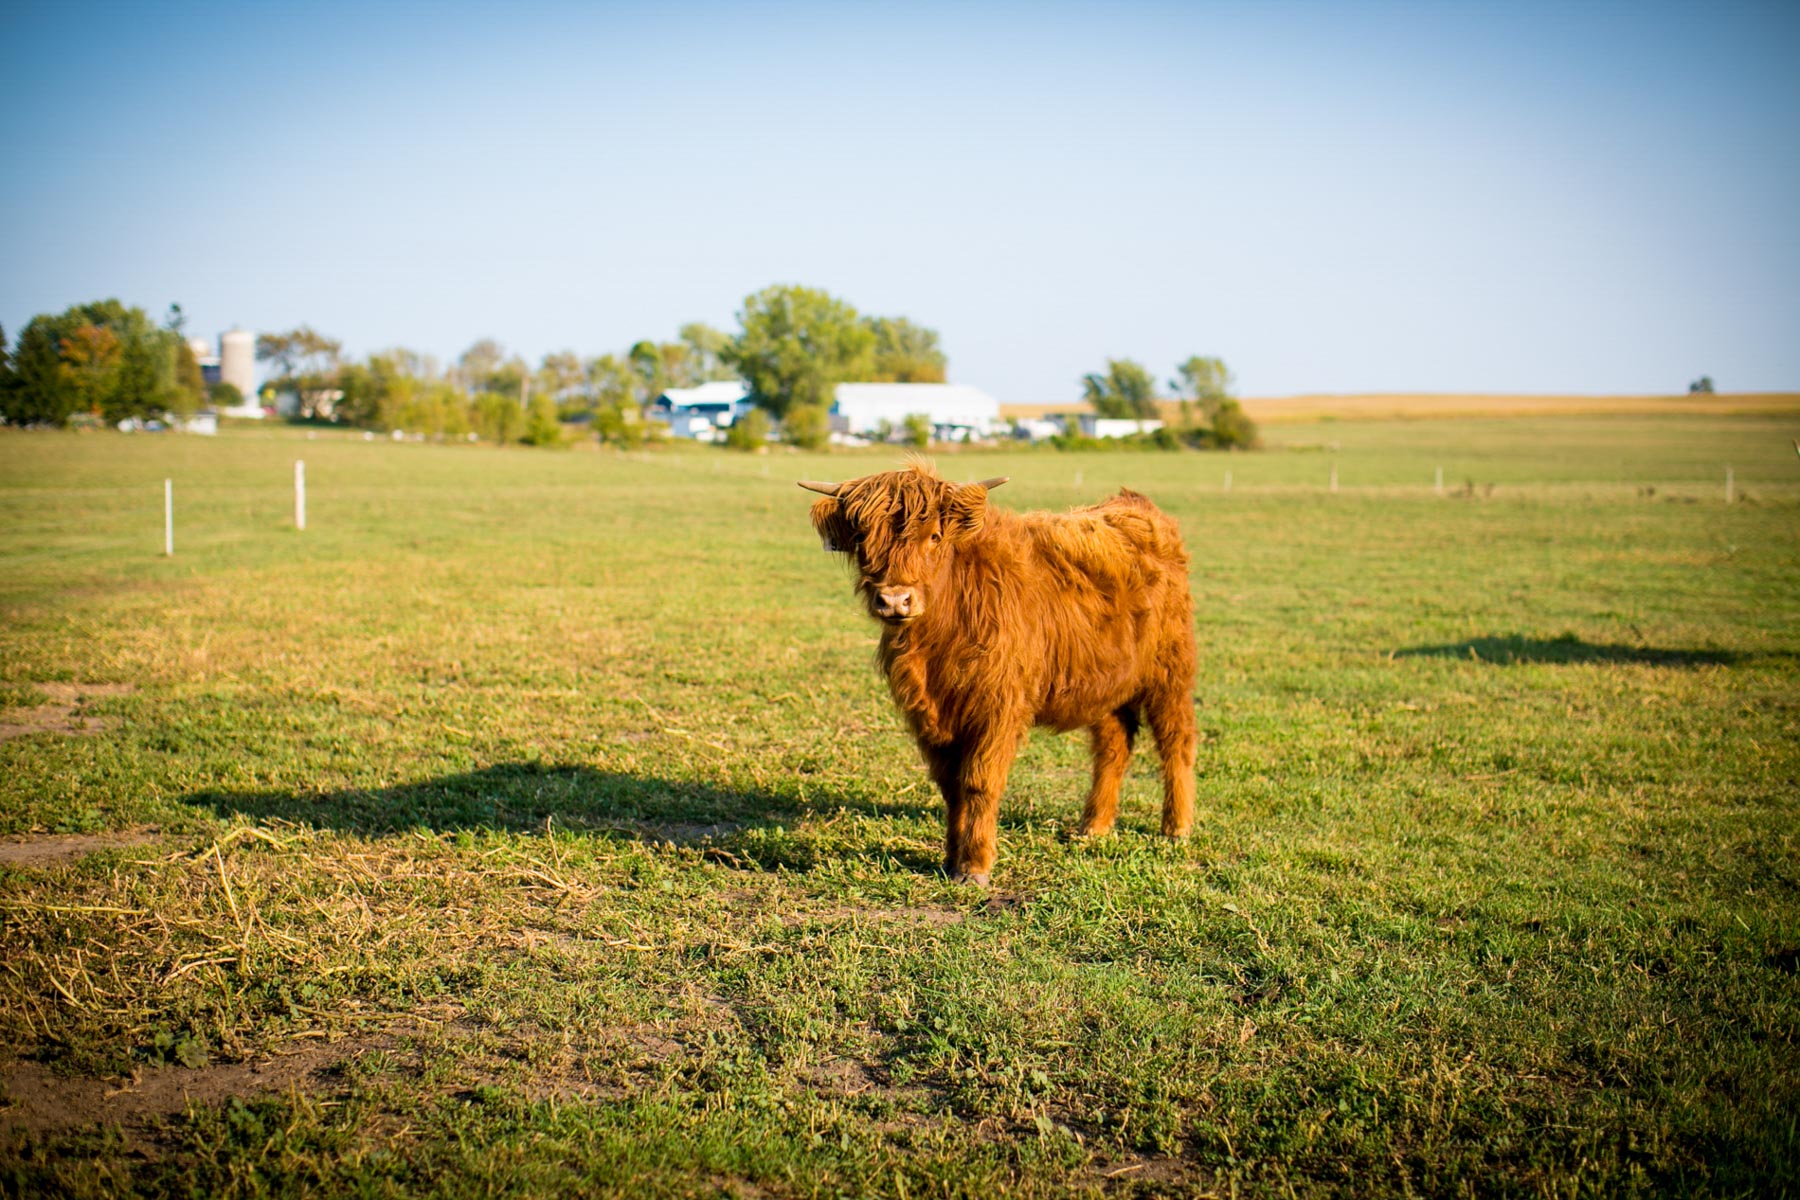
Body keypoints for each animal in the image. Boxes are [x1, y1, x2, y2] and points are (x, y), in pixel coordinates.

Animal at [802, 460, 1195, 881]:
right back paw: (1094, 826)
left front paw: (975, 865)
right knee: (1113, 747)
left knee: (1176, 741)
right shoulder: (930, 714)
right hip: (1105, 683)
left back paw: (1176, 827)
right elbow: (951, 786)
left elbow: (979, 781)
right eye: (862, 537)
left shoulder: (997, 707)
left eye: (934, 536)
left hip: (1170, 672)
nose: (894, 600)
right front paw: (949, 859)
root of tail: (1134, 504)